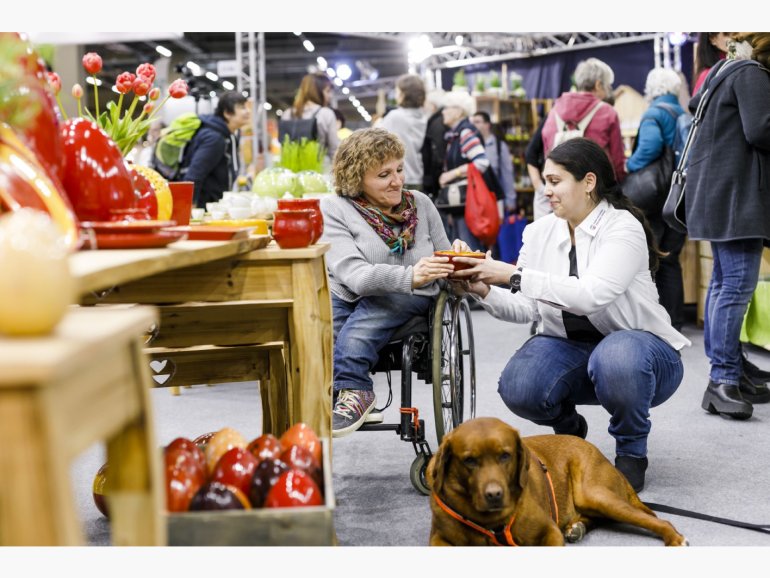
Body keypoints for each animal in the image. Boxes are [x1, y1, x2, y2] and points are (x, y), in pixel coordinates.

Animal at [426, 414, 684, 544]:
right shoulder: (439, 539)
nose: (494, 495)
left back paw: (674, 538)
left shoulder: (548, 532)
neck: (490, 522)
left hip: (595, 495)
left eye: (505, 455)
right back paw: (577, 527)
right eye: (469, 460)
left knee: (658, 519)